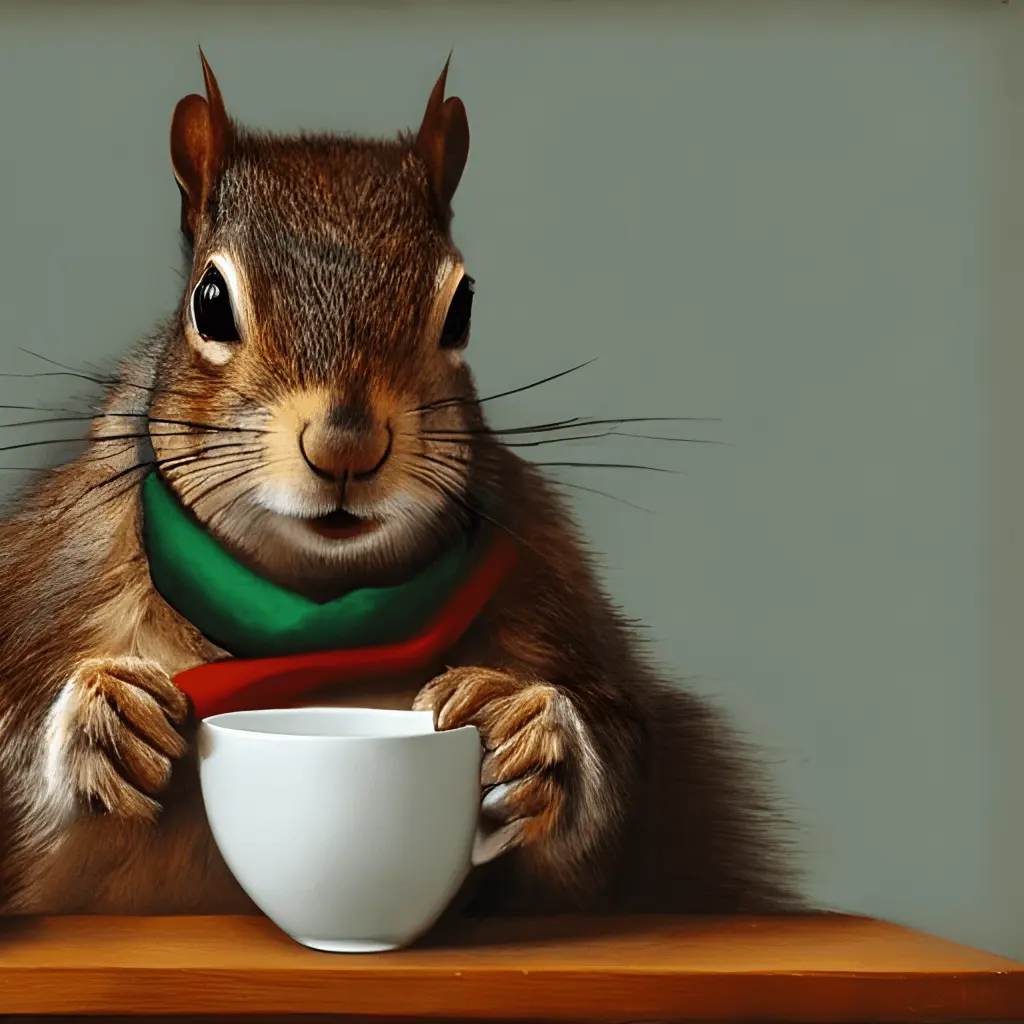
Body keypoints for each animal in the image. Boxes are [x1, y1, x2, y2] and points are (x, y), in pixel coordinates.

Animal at [0, 53, 798, 917]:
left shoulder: (557, 593)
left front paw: (529, 727)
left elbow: (607, 814)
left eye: (464, 305)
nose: (346, 447)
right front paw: (103, 719)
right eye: (208, 302)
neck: (316, 610)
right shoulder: (55, 583)